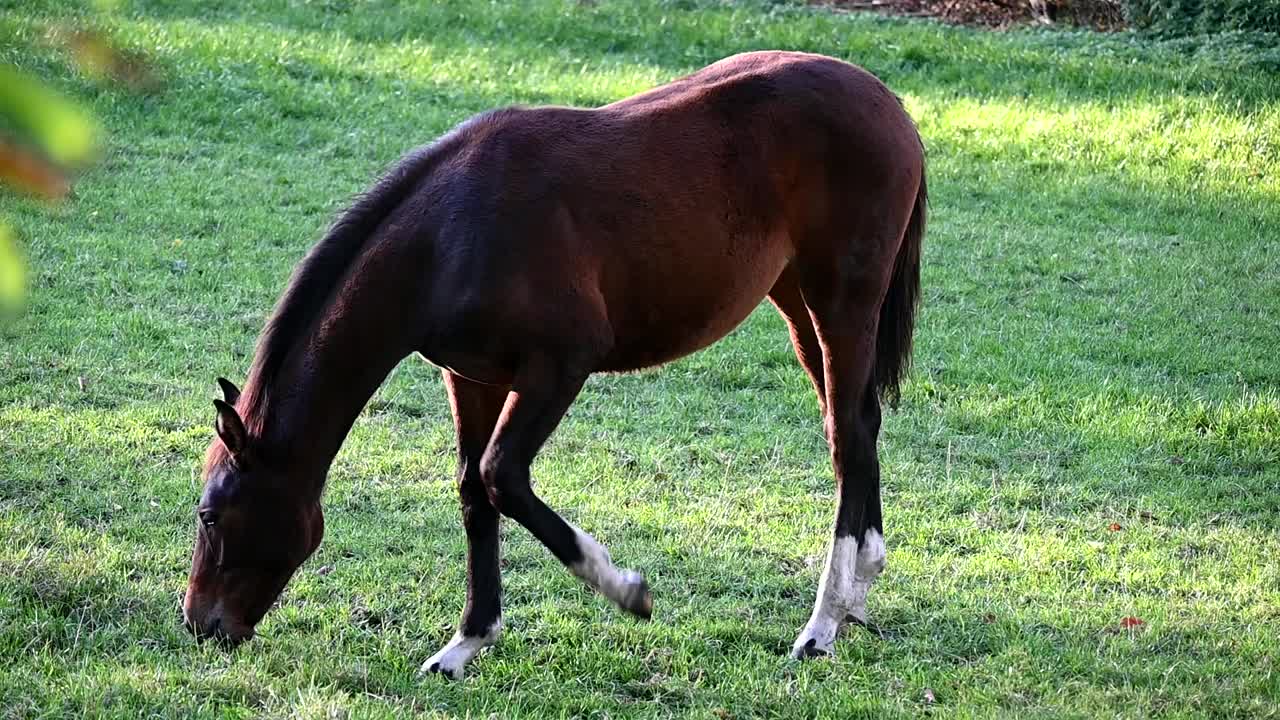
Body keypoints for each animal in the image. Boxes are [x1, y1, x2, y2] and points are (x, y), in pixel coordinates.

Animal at [183, 49, 921, 671]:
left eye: (210, 516)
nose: (199, 623)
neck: (450, 234)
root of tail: (887, 101)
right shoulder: (471, 378)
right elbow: (472, 491)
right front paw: (466, 642)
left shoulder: (557, 368)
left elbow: (501, 477)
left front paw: (625, 588)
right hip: (797, 303)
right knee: (859, 423)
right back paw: (859, 589)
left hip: (842, 304)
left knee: (847, 438)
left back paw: (821, 625)